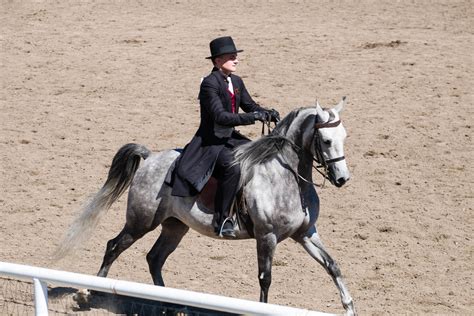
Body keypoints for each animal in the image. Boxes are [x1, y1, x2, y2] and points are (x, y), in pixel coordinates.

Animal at [56, 97, 356, 314]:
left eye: (345, 137)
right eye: (326, 140)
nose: (342, 179)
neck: (287, 176)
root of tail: (150, 158)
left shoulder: (305, 233)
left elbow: (333, 265)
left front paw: (350, 307)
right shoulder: (266, 236)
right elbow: (265, 278)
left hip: (174, 227)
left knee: (154, 258)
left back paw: (172, 304)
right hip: (141, 222)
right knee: (114, 246)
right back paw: (89, 292)